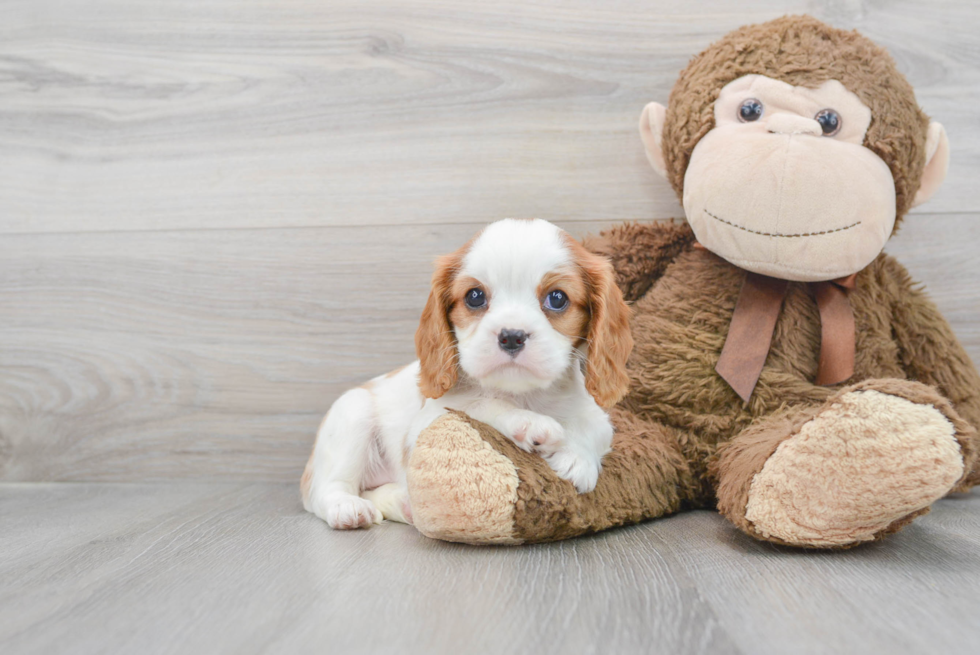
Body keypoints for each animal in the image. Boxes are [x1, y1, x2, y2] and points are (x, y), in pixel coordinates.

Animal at [302, 218, 632, 532]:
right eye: (475, 296)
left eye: (557, 298)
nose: (512, 336)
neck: (523, 394)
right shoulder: (427, 423)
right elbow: (480, 404)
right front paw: (529, 423)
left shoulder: (593, 411)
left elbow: (597, 428)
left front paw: (577, 459)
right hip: (352, 413)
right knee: (327, 490)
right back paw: (347, 507)